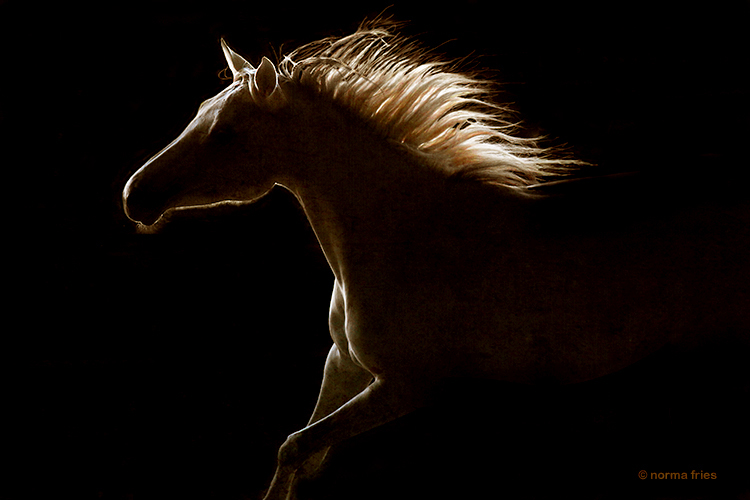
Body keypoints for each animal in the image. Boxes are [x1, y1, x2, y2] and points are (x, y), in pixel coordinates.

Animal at [122, 20, 749, 499]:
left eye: (225, 132)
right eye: (200, 110)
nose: (133, 196)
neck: (408, 237)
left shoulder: (408, 386)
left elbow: (296, 446)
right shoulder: (343, 363)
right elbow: (301, 455)